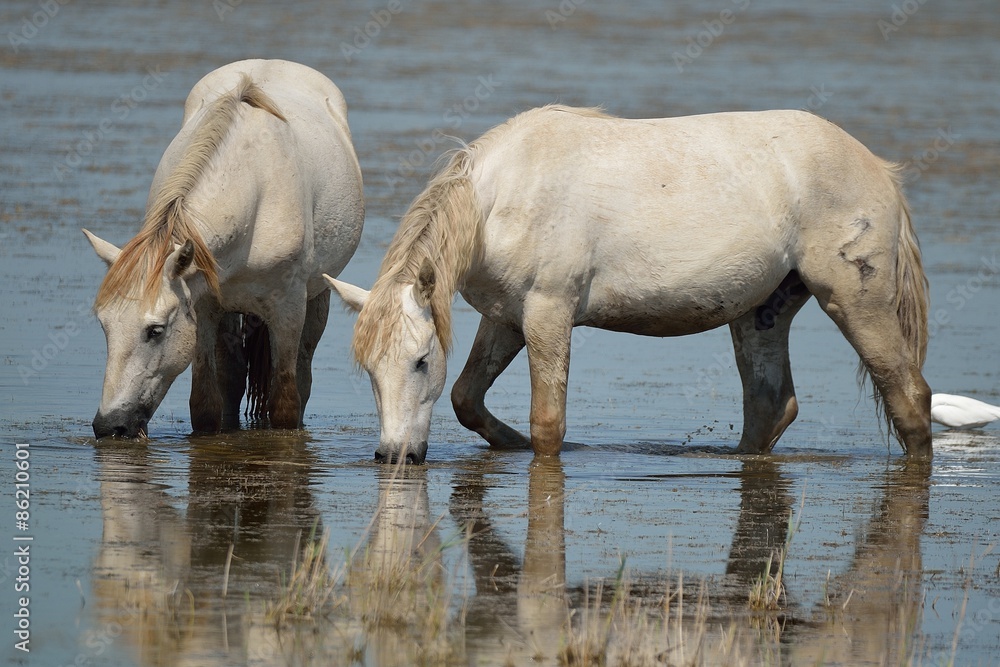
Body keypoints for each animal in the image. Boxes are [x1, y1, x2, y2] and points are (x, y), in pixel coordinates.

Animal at [85, 59, 364, 438]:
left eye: (155, 330)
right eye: (104, 326)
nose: (110, 425)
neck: (255, 195)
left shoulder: (288, 308)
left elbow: (286, 405)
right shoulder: (203, 306)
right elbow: (205, 405)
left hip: (317, 296)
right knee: (231, 377)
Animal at [326, 105, 931, 463]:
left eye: (421, 360)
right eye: (369, 370)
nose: (393, 457)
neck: (500, 199)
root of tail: (878, 170)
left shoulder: (548, 312)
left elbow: (549, 422)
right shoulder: (507, 318)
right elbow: (466, 398)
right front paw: (511, 445)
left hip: (855, 299)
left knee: (910, 397)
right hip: (763, 310)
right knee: (772, 404)